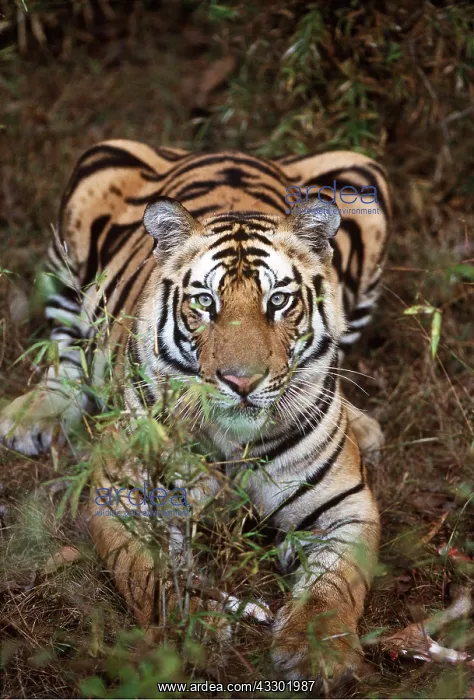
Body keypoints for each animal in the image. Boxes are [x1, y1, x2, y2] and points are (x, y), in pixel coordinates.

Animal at [0, 140, 390, 685]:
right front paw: (192, 634)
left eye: (278, 300)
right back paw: (32, 417)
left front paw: (317, 650)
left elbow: (336, 585)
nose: (241, 381)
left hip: (364, 176)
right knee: (65, 349)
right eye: (205, 301)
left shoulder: (347, 506)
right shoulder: (124, 496)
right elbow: (153, 578)